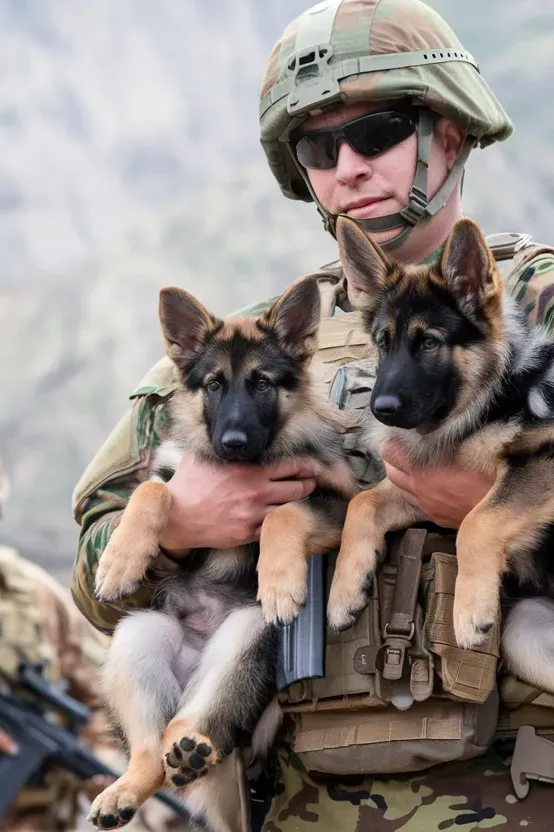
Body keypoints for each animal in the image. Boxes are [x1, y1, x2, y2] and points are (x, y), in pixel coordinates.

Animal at [86, 278, 354, 832]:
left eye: (262, 384)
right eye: (212, 385)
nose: (232, 442)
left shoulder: (341, 503)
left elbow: (282, 513)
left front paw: (279, 580)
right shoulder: (175, 476)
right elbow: (151, 492)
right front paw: (119, 561)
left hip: (247, 635)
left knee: (198, 721)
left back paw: (192, 748)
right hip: (140, 633)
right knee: (152, 752)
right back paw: (130, 785)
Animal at [328, 214, 554, 688]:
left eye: (430, 342)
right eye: (383, 342)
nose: (380, 409)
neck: (486, 400)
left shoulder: (540, 458)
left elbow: (477, 521)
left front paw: (469, 611)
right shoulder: (418, 492)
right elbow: (362, 503)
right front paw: (345, 591)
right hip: (527, 635)